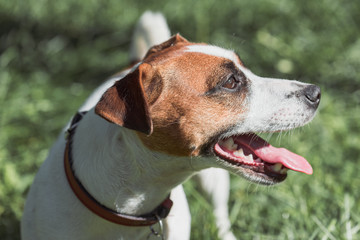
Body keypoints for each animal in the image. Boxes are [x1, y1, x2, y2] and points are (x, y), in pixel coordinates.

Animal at [21, 11, 320, 240]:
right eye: (231, 82)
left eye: (245, 69)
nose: (316, 93)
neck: (130, 204)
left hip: (214, 183)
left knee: (220, 215)